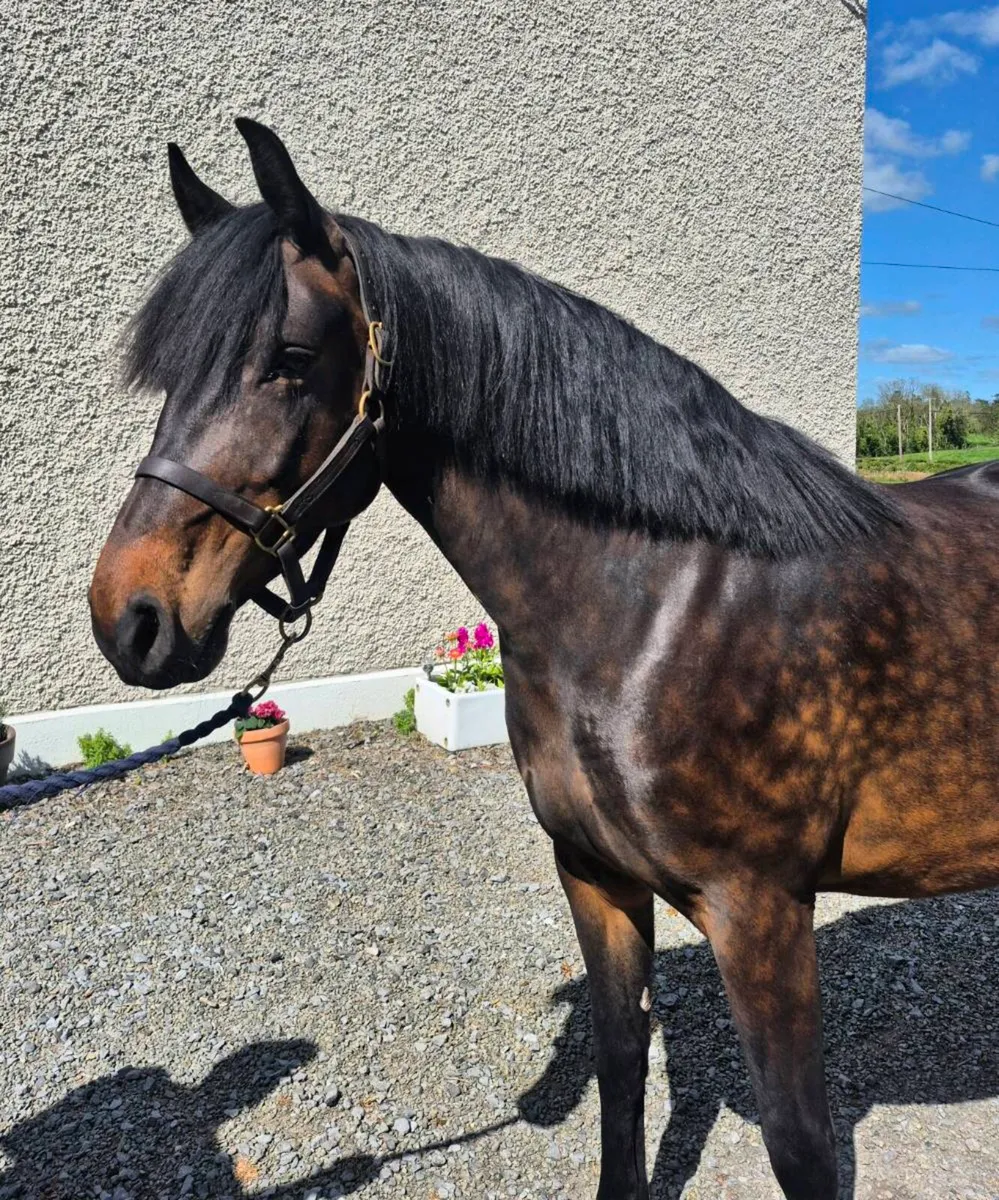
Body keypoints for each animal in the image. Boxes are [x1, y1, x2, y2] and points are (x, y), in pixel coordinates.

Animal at [89, 119, 999, 1200]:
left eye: (291, 357)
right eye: (171, 373)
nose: (129, 617)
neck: (655, 602)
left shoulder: (762, 912)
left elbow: (799, 1146)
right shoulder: (594, 878)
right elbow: (620, 1070)